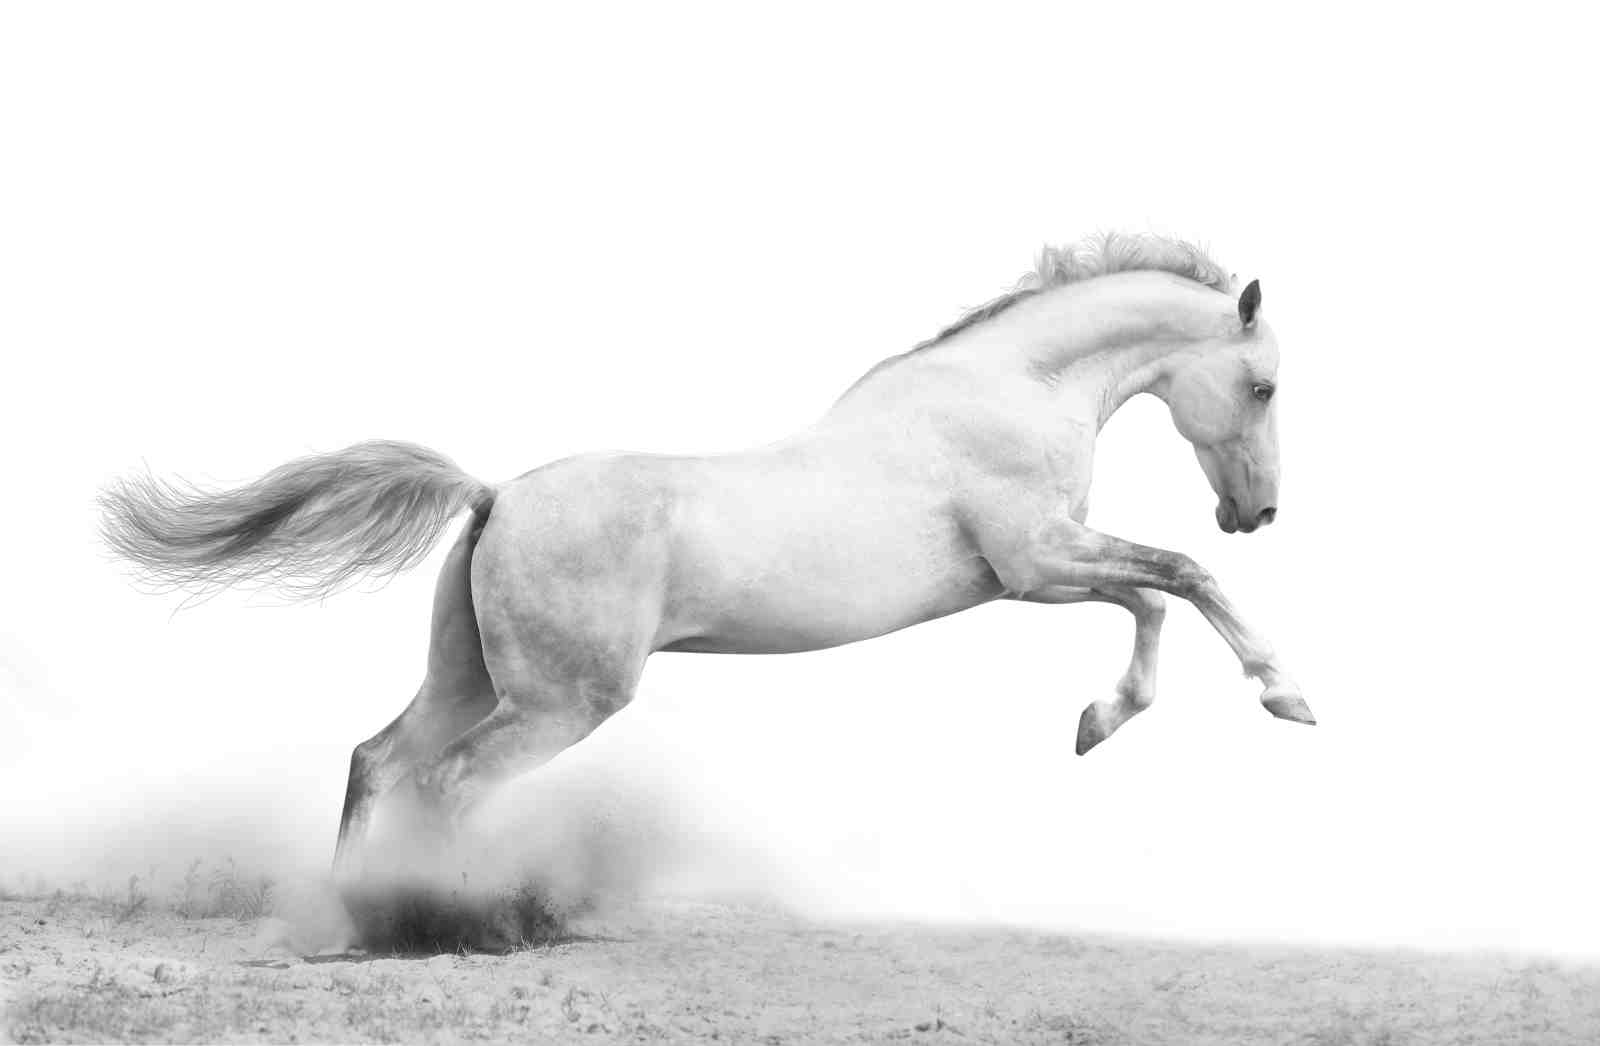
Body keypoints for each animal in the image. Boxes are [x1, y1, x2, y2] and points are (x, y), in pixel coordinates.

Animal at [99, 232, 1312, 878]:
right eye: (1262, 386)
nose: (1255, 512)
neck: (1007, 390)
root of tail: (496, 495)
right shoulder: (1036, 563)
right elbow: (1178, 580)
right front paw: (1284, 694)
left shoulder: (1042, 571)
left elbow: (1156, 598)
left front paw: (1096, 723)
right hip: (558, 703)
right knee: (445, 784)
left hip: (470, 678)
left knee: (378, 761)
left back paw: (351, 912)